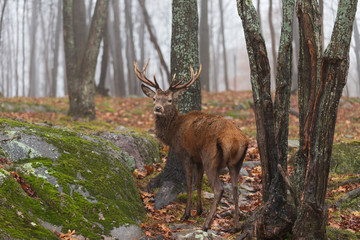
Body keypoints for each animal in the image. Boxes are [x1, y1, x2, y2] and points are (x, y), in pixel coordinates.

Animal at [134, 59, 249, 231]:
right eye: (154, 98)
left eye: (170, 100)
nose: (157, 109)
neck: (173, 133)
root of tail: (236, 140)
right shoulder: (198, 159)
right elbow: (198, 183)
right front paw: (199, 210)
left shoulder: (187, 155)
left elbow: (189, 183)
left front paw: (186, 214)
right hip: (236, 163)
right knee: (236, 189)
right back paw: (235, 226)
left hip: (211, 158)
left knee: (219, 189)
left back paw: (206, 225)